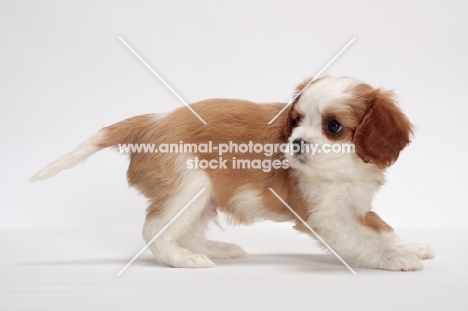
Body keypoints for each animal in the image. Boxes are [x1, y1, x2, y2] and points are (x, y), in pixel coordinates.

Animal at [33, 77, 436, 272]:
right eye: (296, 121)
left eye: (333, 126)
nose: (296, 143)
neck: (344, 171)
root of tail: (152, 121)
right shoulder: (324, 217)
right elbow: (364, 239)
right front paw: (392, 259)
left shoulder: (356, 206)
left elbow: (382, 228)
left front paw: (407, 246)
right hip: (190, 184)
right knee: (154, 230)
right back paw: (182, 259)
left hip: (200, 194)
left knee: (188, 231)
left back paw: (216, 248)